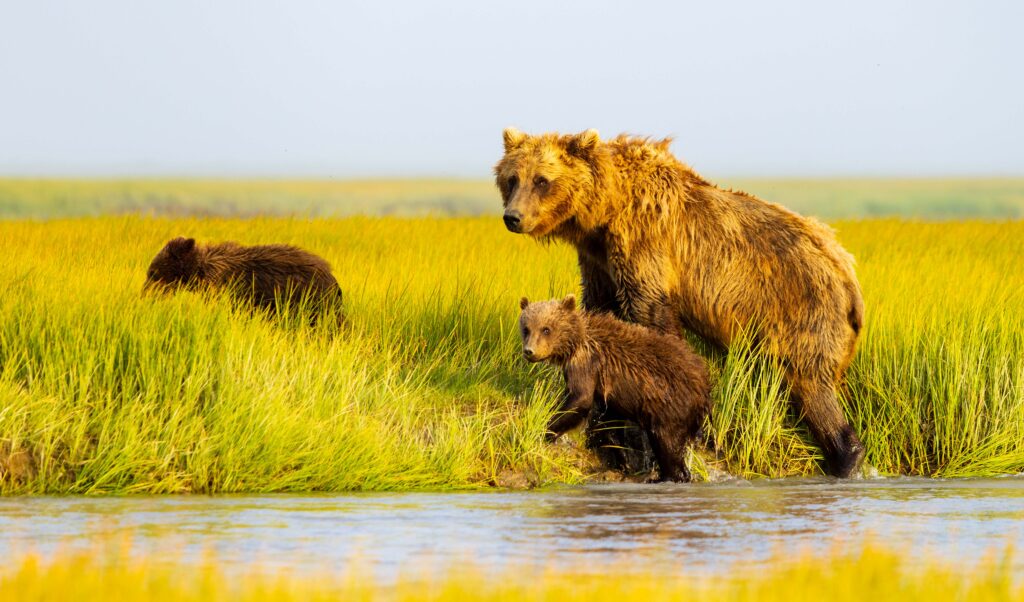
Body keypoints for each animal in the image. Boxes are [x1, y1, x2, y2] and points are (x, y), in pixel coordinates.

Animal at [519, 295, 711, 482]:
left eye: (546, 329)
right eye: (526, 329)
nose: (529, 351)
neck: (575, 342)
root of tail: (704, 384)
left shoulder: (587, 362)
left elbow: (580, 399)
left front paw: (544, 430)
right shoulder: (607, 391)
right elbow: (610, 425)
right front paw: (622, 461)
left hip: (670, 405)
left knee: (667, 443)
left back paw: (669, 477)